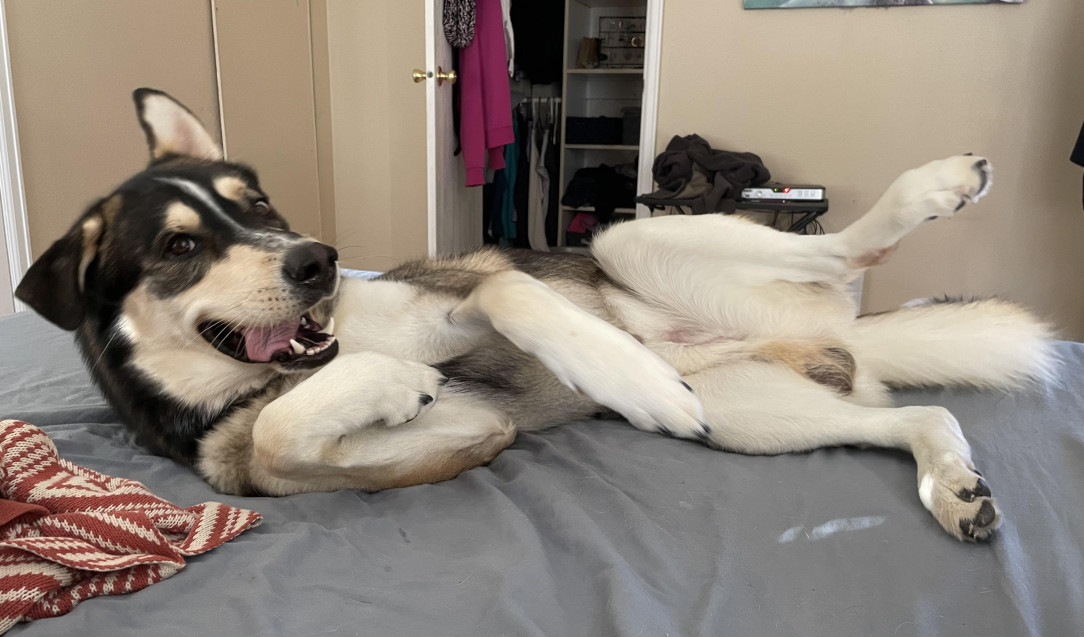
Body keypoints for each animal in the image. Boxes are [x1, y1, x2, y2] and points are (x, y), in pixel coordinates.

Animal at [14, 89, 1049, 539]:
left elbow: (511, 289)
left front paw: (624, 371)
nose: (319, 259)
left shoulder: (466, 295)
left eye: (258, 204)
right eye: (179, 248)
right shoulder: (459, 433)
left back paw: (940, 186)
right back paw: (953, 488)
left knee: (840, 247)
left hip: (634, 247)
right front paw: (386, 382)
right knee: (920, 414)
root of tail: (834, 336)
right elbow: (280, 435)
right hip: (749, 418)